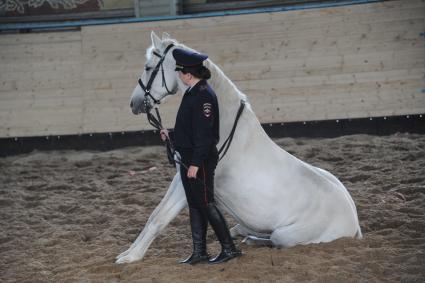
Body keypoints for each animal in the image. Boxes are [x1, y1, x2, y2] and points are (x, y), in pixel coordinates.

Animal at [116, 32, 362, 266]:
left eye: (148, 67)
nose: (133, 103)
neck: (220, 125)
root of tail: (354, 222)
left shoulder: (189, 179)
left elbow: (159, 218)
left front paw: (131, 257)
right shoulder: (182, 178)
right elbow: (155, 215)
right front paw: (127, 253)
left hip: (287, 235)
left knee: (274, 239)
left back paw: (250, 238)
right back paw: (242, 233)